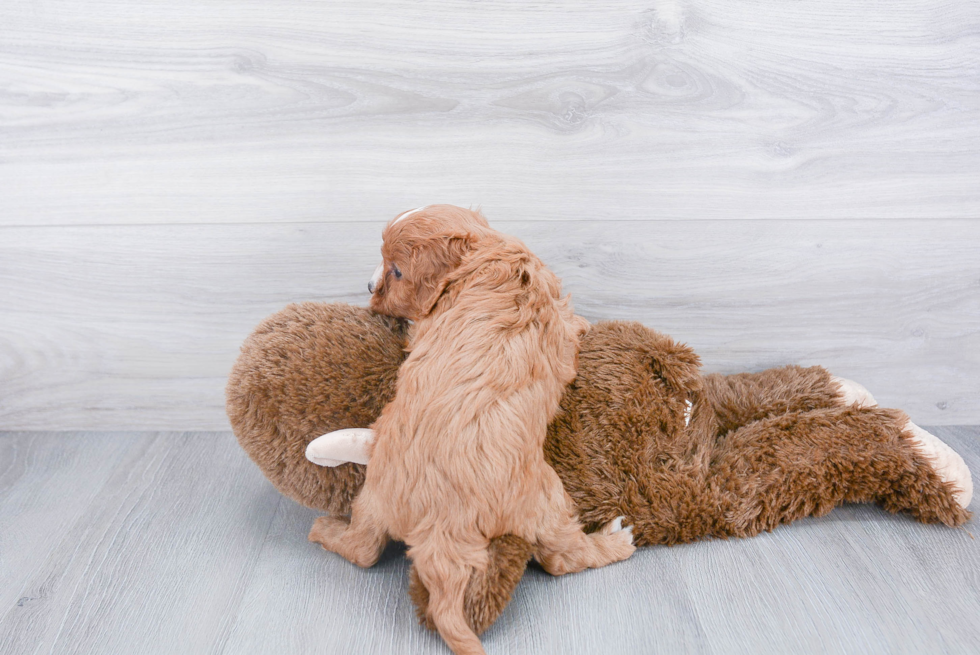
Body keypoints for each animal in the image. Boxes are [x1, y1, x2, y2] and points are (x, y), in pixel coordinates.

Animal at [310, 206, 640, 655]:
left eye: (396, 271)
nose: (368, 286)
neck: (484, 253)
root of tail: (440, 527)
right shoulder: (556, 312)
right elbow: (574, 324)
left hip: (373, 497)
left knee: (362, 548)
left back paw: (324, 529)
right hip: (548, 500)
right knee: (563, 558)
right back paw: (615, 541)